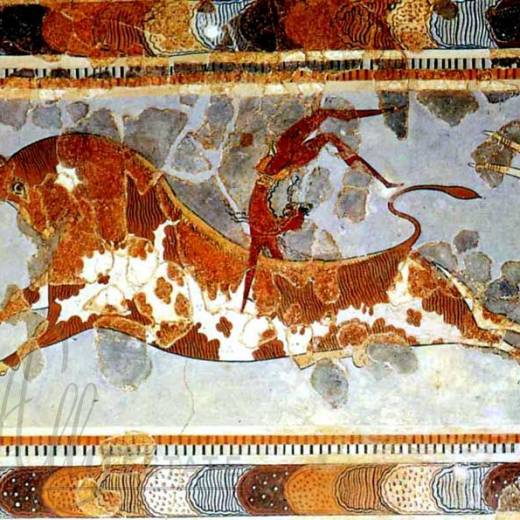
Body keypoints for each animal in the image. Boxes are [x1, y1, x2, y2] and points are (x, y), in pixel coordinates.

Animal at [0, 132, 518, 376]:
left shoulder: (101, 317)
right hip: (452, 323)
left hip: (451, 322)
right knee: (500, 328)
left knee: (497, 335)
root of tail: (416, 257)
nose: (36, 227)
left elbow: (43, 337)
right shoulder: (63, 300)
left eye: (19, 186)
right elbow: (21, 309)